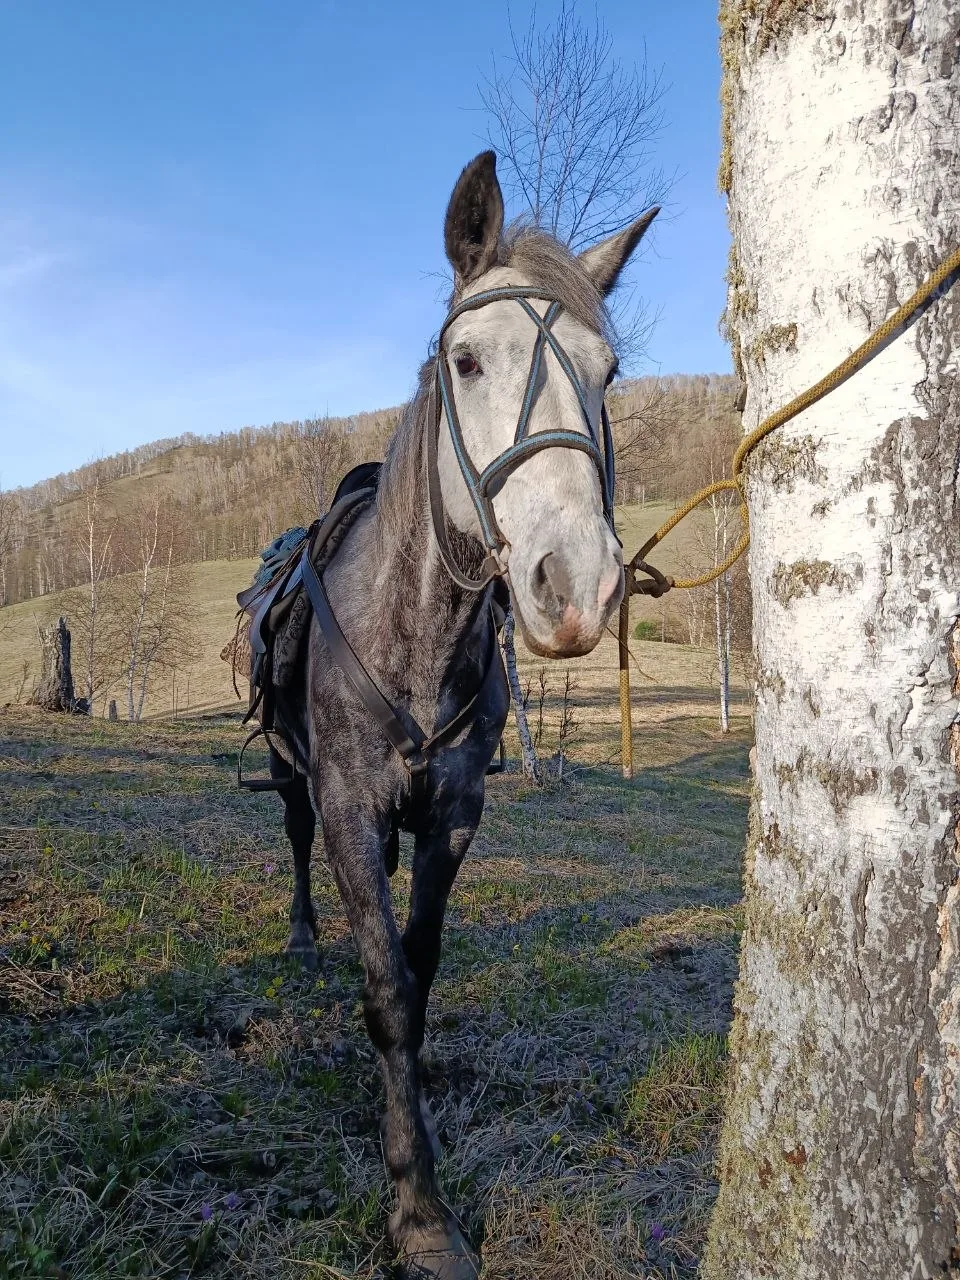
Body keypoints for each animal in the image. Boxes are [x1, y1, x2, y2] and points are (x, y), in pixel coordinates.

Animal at [247, 151, 657, 1278]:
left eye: (608, 373)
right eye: (467, 361)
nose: (578, 586)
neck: (415, 630)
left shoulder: (454, 815)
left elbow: (418, 974)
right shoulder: (351, 806)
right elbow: (386, 987)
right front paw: (418, 1208)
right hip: (294, 780)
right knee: (293, 840)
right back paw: (305, 932)